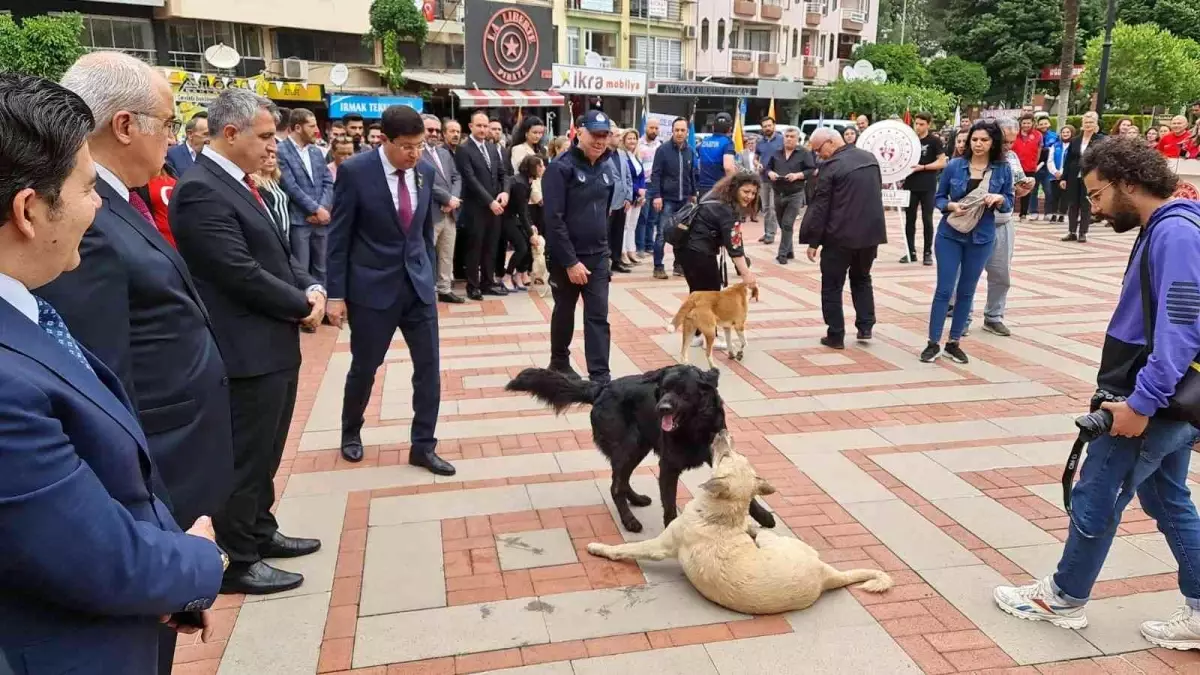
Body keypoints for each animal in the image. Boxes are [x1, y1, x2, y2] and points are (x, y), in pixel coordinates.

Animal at [501, 362, 772, 530]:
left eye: (683, 392)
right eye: (663, 389)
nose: (661, 408)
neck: (692, 427)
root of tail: (601, 388)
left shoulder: (718, 452)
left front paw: (763, 515)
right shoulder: (668, 466)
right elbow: (669, 506)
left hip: (636, 446)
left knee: (620, 480)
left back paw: (636, 499)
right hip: (629, 446)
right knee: (615, 487)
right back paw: (629, 520)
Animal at [585, 427, 888, 612]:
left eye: (727, 455)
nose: (721, 431)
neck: (720, 516)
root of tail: (827, 576)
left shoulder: (660, 546)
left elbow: (624, 549)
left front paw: (599, 548)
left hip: (771, 540)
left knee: (761, 534)